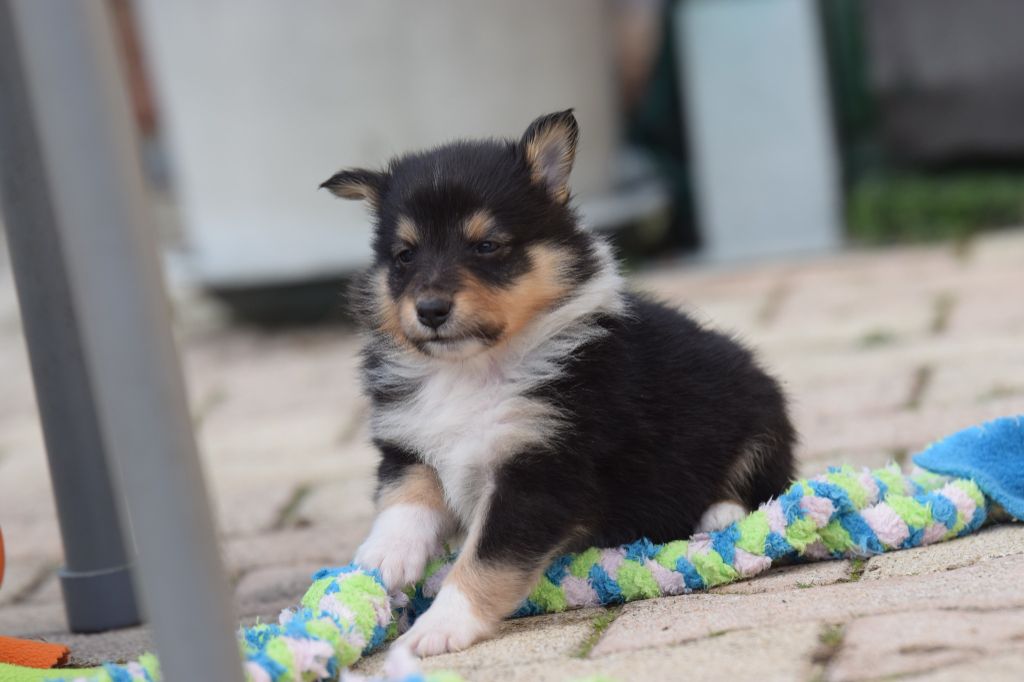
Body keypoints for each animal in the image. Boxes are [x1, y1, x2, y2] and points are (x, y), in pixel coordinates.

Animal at [323, 110, 794, 655]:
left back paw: (719, 516)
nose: (430, 310)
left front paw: (439, 627)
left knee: (762, 480)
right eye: (404, 255)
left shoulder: (543, 471)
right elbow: (406, 497)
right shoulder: (410, 442)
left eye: (487, 245)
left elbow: (486, 559)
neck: (473, 368)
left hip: (759, 414)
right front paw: (384, 554)